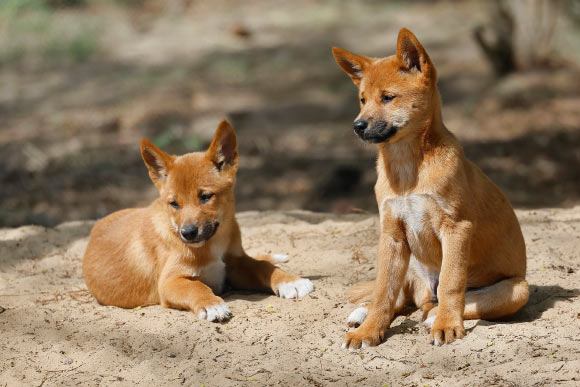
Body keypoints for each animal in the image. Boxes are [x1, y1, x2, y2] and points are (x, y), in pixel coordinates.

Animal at [82, 119, 312, 322]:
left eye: (206, 196)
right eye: (174, 204)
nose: (188, 233)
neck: (212, 245)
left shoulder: (234, 264)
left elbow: (261, 266)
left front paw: (290, 281)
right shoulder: (170, 282)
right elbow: (196, 286)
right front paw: (211, 304)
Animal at [334, 27, 528, 348]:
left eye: (388, 98)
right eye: (362, 99)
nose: (357, 126)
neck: (407, 170)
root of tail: (426, 292)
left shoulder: (457, 228)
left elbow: (451, 283)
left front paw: (447, 325)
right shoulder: (392, 234)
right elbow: (383, 292)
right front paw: (369, 330)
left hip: (517, 290)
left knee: (447, 302)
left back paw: (435, 316)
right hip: (409, 264)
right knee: (400, 300)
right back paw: (362, 314)